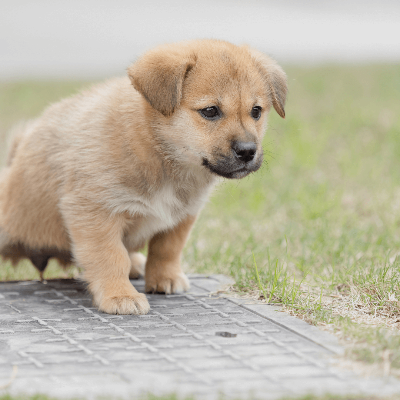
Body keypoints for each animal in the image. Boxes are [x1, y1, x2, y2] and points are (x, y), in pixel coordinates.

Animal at [0, 41, 288, 316]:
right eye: (210, 111)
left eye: (256, 111)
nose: (247, 151)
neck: (158, 152)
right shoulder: (95, 212)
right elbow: (111, 257)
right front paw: (119, 295)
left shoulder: (182, 216)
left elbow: (167, 250)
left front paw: (165, 279)